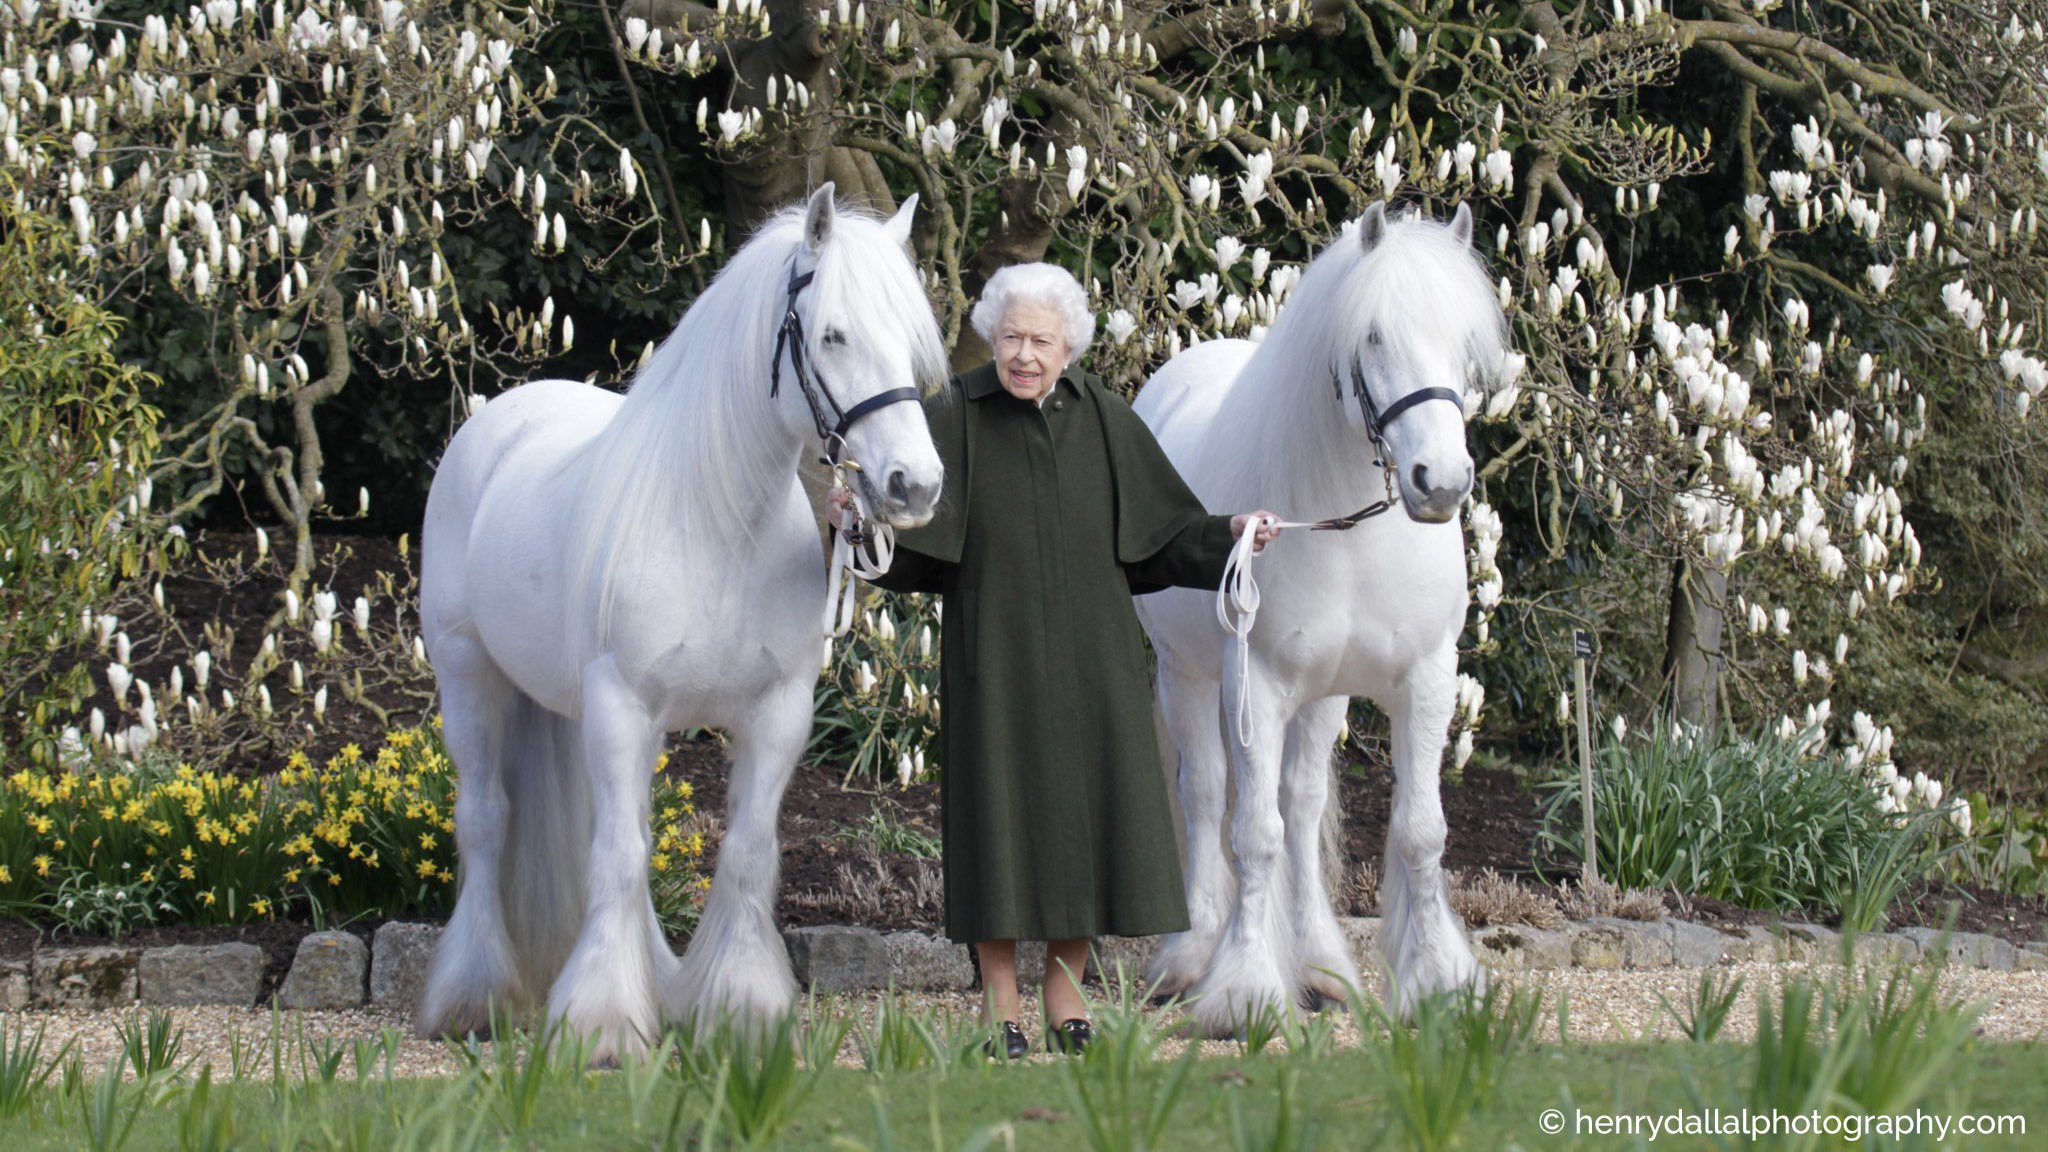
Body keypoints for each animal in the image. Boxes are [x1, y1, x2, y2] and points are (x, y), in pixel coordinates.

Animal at [421, 183, 950, 1057]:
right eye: (834, 333)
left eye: (911, 342)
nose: (916, 485)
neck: (716, 525)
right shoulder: (622, 706)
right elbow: (618, 856)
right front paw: (602, 1023)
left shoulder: (776, 714)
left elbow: (743, 853)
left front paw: (740, 1008)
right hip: (470, 677)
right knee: (487, 821)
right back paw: (474, 996)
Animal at [1138, 199, 1507, 1033]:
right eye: (1373, 336)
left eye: (1464, 343)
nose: (1441, 482)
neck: (1351, 529)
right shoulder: (1259, 685)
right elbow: (1252, 833)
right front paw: (1243, 990)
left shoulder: (1426, 681)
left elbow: (1418, 831)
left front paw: (1438, 980)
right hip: (1188, 676)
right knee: (1206, 794)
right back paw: (1191, 955)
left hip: (1323, 696)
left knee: (1301, 807)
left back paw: (1319, 965)